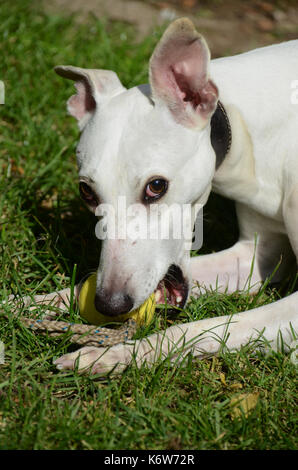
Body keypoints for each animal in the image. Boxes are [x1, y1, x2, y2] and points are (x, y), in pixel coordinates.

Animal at [28, 19, 298, 374]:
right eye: (86, 191)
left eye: (156, 186)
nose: (110, 303)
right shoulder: (256, 258)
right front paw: (23, 304)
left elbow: (196, 328)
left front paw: (113, 355)